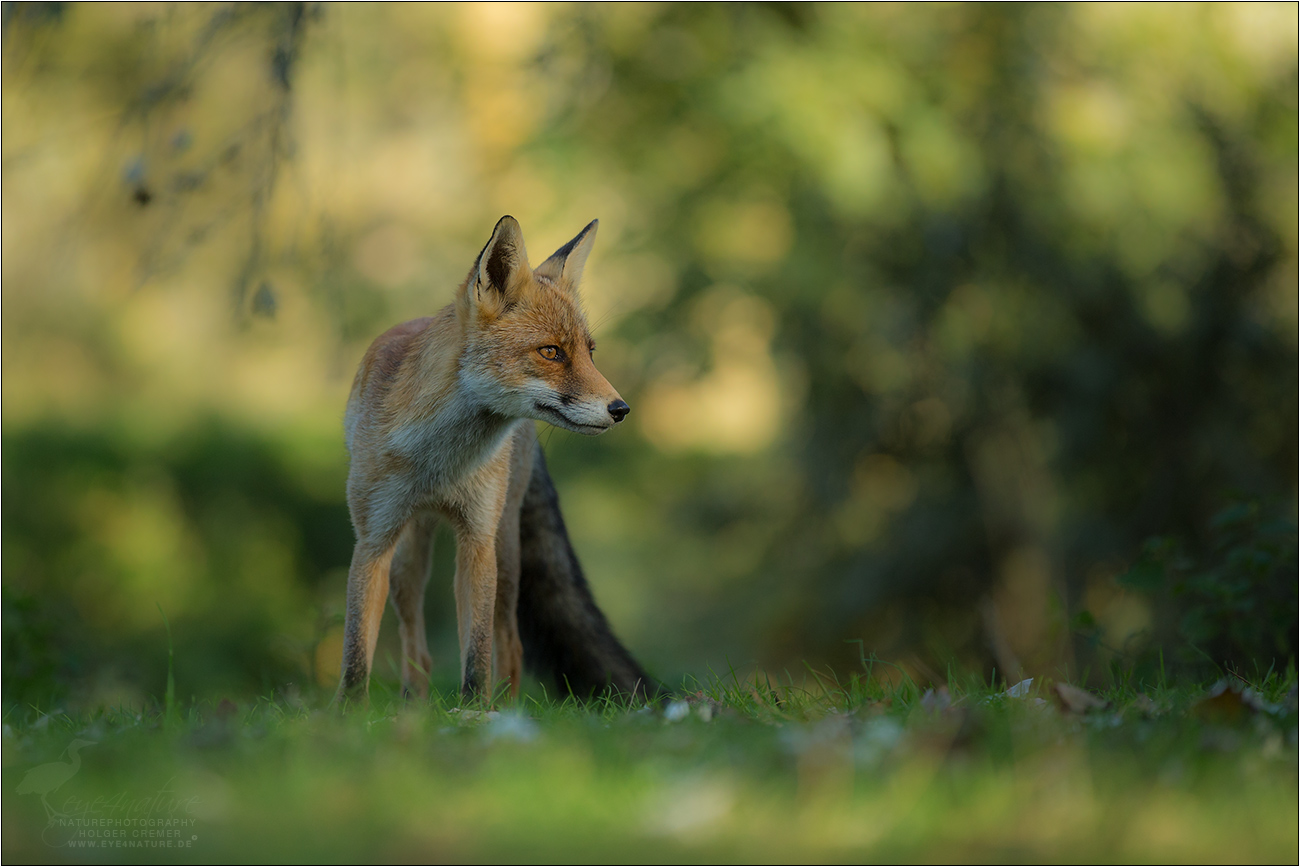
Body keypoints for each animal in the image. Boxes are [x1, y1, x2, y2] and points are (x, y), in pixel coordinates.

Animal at [338, 217, 655, 707]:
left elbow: (479, 652)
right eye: (551, 352)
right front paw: (346, 714)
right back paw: (415, 705)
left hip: (504, 550)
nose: (620, 409)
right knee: (416, 644)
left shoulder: (477, 538)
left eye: (589, 352)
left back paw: (503, 710)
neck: (438, 462)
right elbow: (356, 651)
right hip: (409, 557)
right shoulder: (372, 539)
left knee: (510, 644)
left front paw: (474, 710)